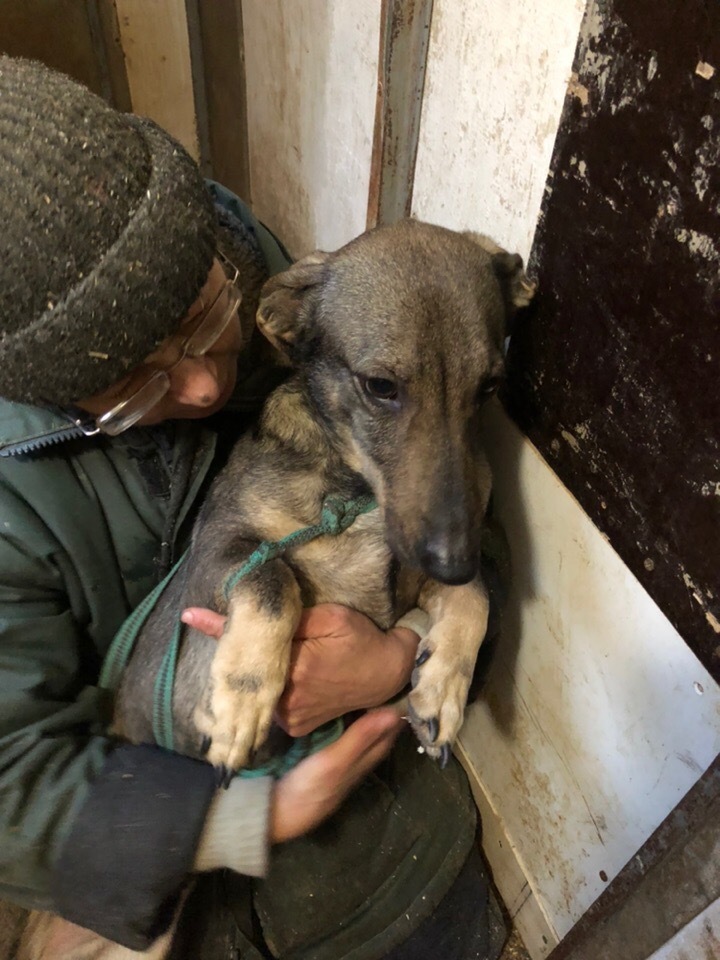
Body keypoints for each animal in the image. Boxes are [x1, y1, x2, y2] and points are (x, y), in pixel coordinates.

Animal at [111, 219, 528, 772]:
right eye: (380, 386)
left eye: (489, 387)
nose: (455, 561)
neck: (354, 494)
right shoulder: (217, 547)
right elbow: (273, 578)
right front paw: (241, 699)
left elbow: (476, 597)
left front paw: (442, 688)